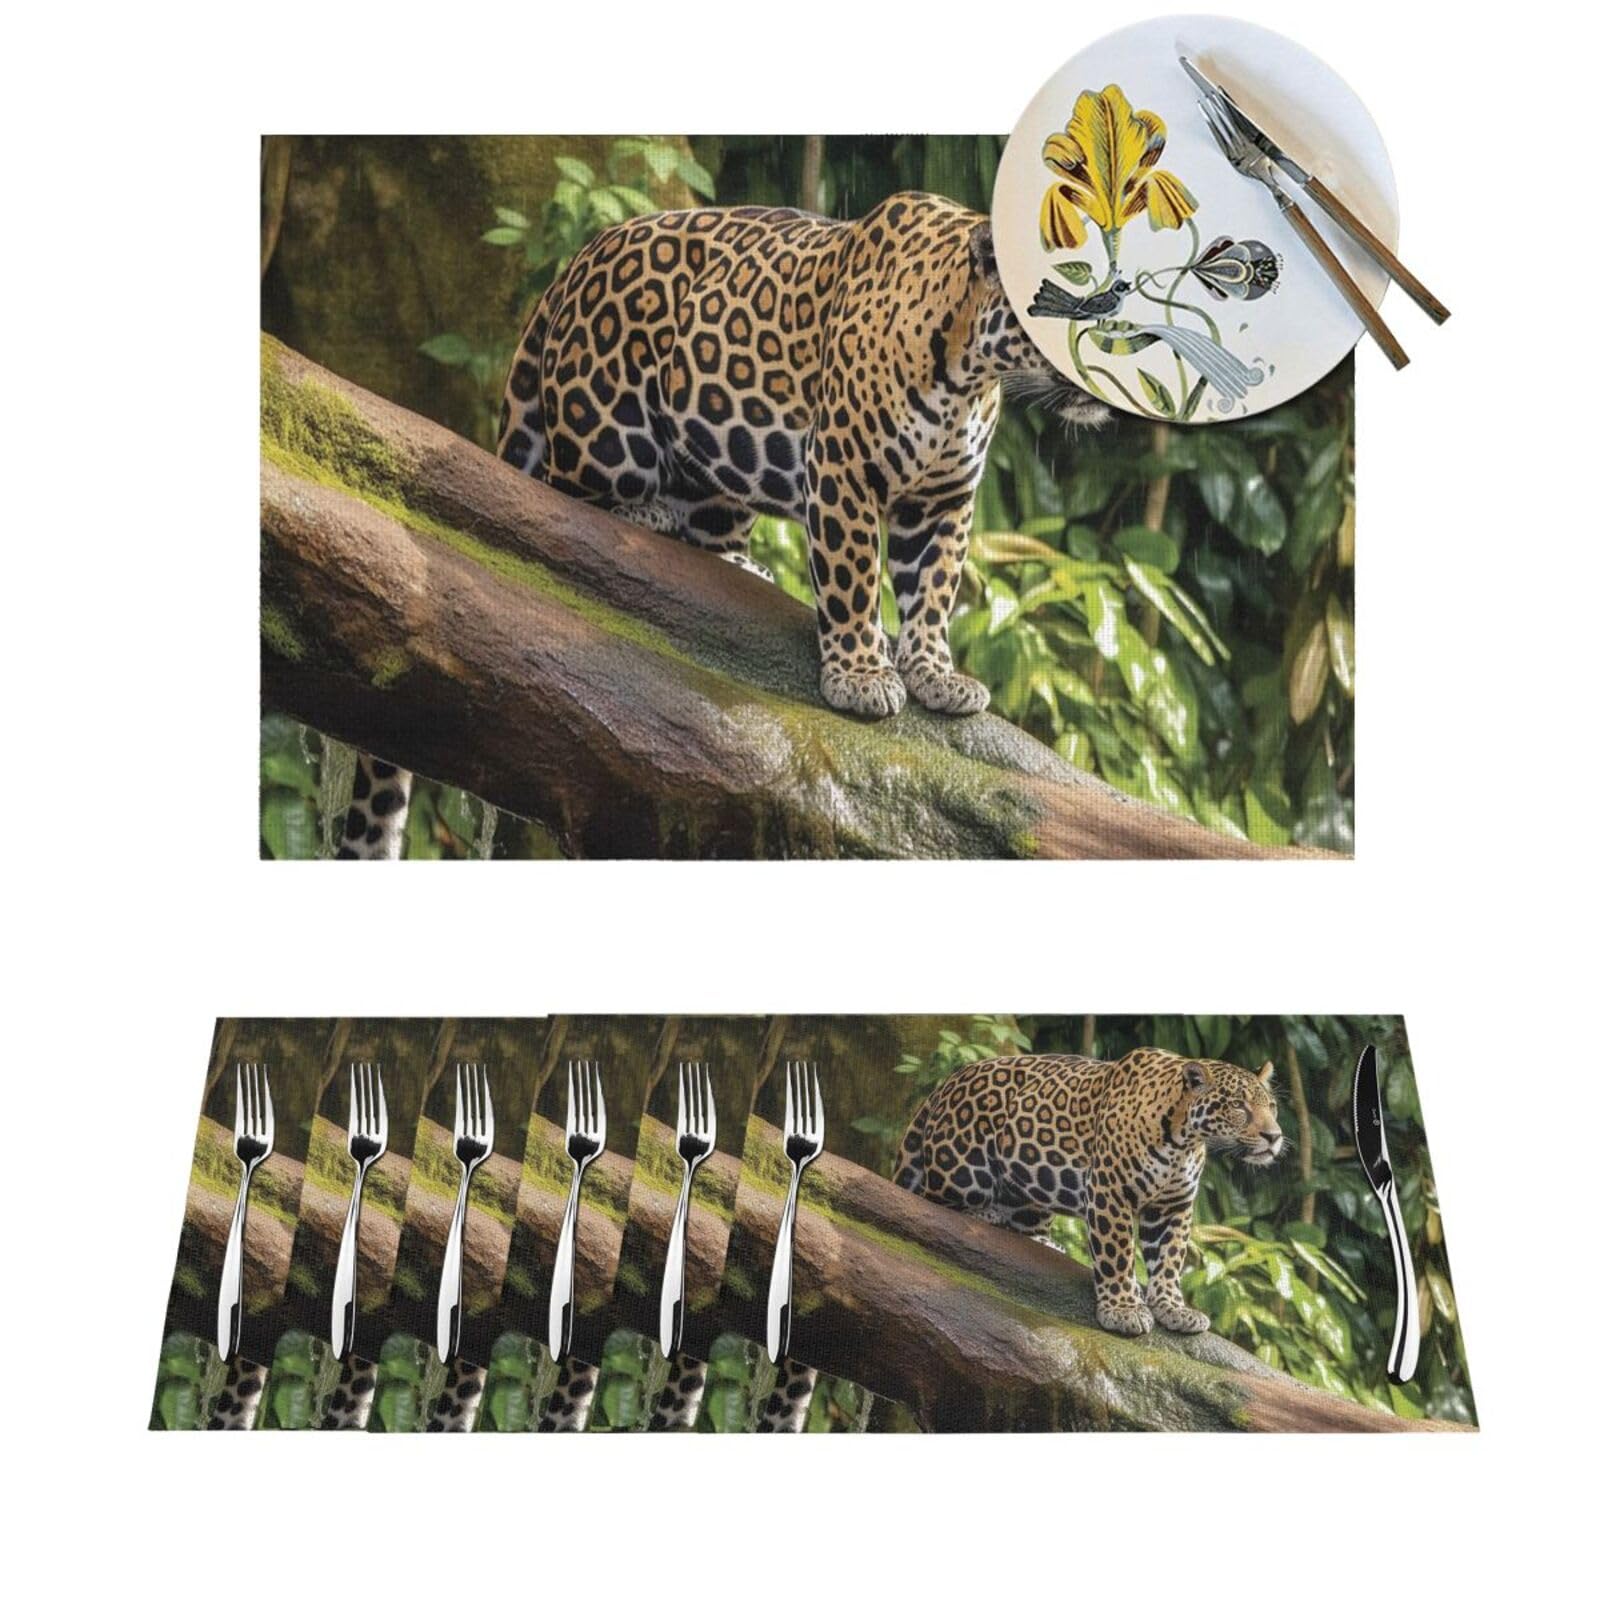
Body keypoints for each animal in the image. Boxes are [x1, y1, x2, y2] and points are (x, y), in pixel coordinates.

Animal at [334, 190, 1103, 858]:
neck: (967, 374)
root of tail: (572, 266)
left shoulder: (945, 500)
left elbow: (934, 593)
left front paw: (935, 676)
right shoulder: (844, 469)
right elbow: (854, 577)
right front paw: (860, 678)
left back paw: (741, 563)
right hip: (609, 432)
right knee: (552, 491)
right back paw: (645, 514)